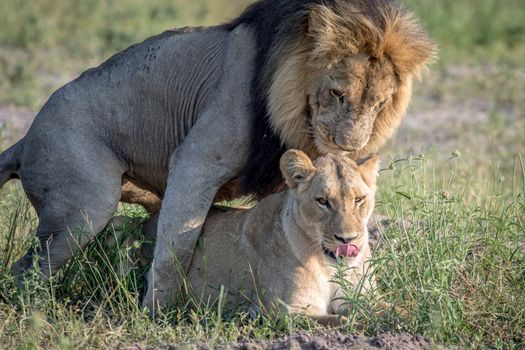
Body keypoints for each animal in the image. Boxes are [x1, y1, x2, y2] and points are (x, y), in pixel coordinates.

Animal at [0, 0, 434, 308]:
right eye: (337, 92)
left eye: (380, 103)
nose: (349, 146)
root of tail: (26, 138)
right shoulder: (196, 160)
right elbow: (176, 248)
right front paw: (158, 313)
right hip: (82, 210)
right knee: (27, 272)